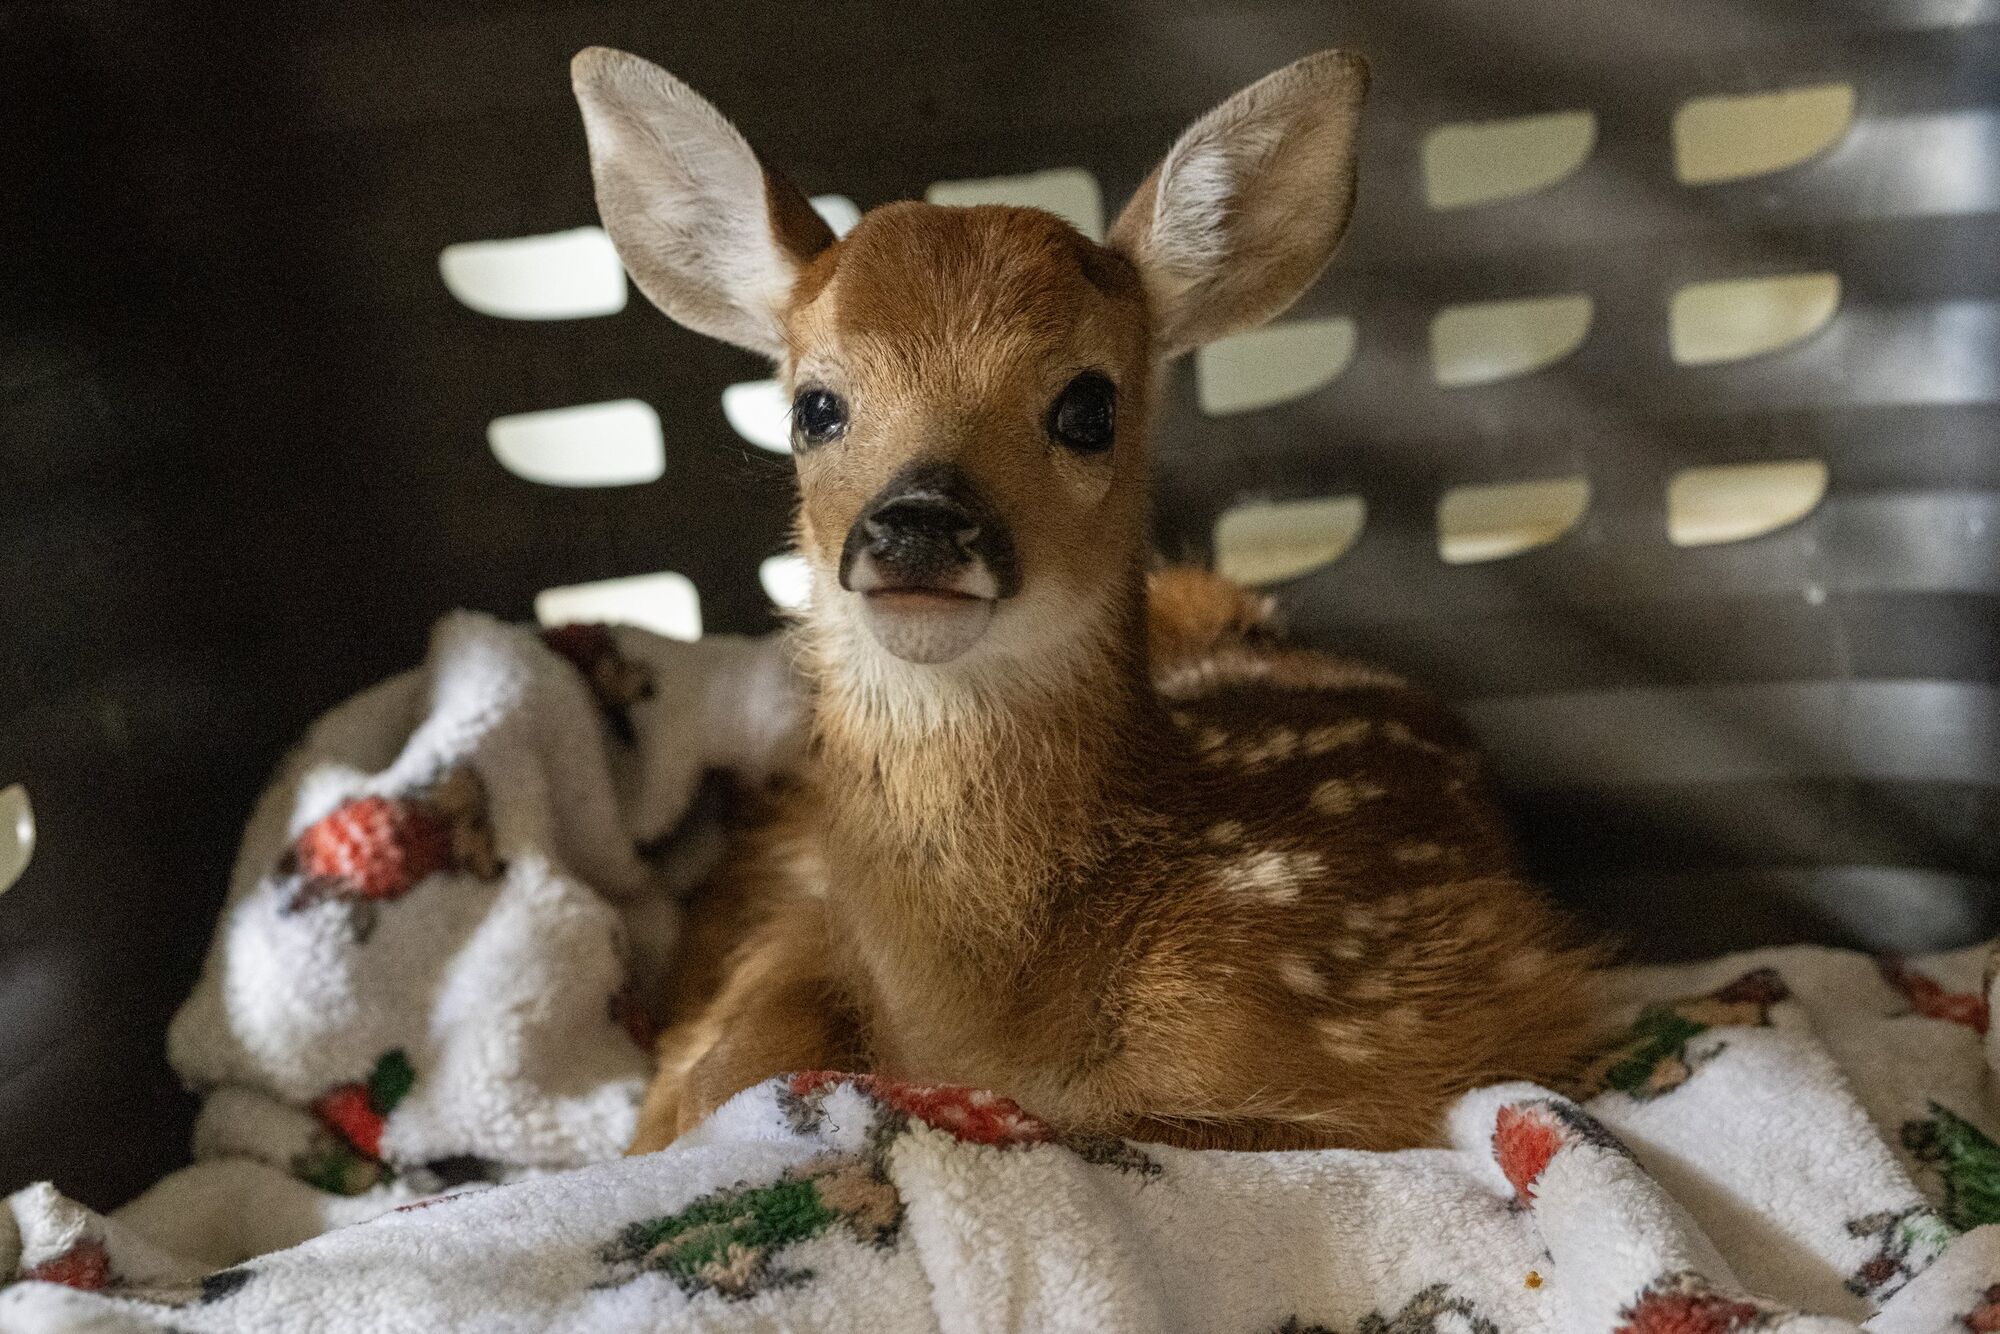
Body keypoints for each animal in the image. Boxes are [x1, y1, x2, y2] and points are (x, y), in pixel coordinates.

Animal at [572, 47, 1600, 1152]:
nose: (917, 525)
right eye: (815, 405)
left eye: (1087, 407)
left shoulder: (1377, 1044)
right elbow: (725, 1066)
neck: (975, 1026)